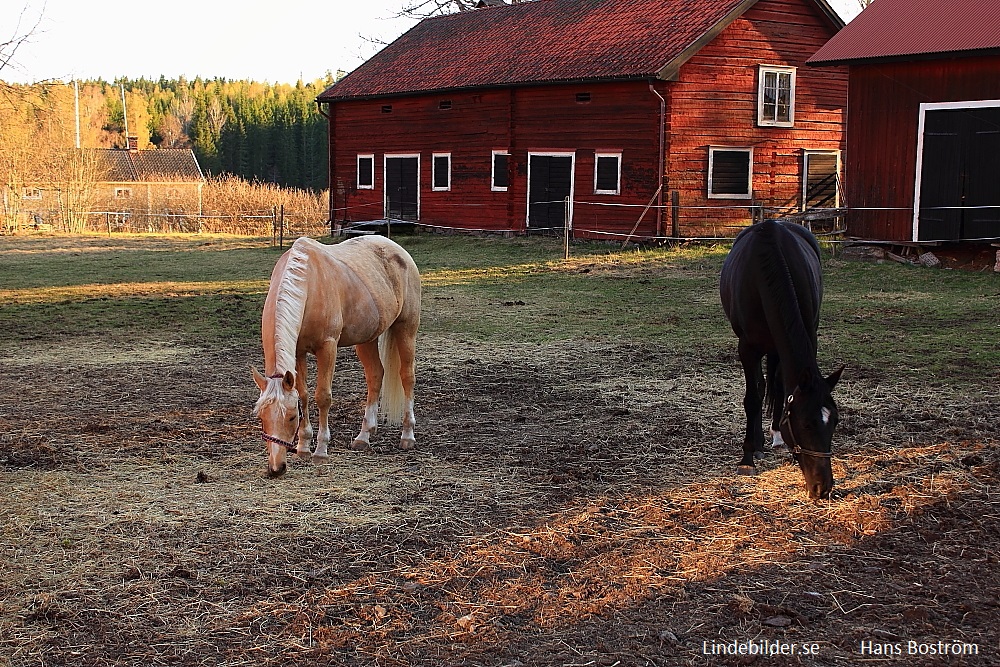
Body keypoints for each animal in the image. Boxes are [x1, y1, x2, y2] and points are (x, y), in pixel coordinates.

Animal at [254, 237, 422, 478]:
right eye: (262, 417)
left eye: (292, 417)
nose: (276, 468)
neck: (308, 285)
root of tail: (398, 250)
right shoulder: (298, 352)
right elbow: (304, 395)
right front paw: (303, 447)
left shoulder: (328, 347)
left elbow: (323, 396)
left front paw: (321, 451)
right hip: (367, 339)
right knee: (375, 376)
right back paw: (364, 437)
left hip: (406, 329)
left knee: (407, 376)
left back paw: (407, 435)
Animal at [720, 220, 844, 500]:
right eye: (806, 424)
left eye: (834, 422)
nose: (822, 488)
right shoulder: (747, 347)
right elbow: (753, 397)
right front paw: (747, 457)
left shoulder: (807, 334)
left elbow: (780, 387)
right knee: (761, 386)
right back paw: (757, 444)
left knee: (775, 383)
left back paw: (774, 435)